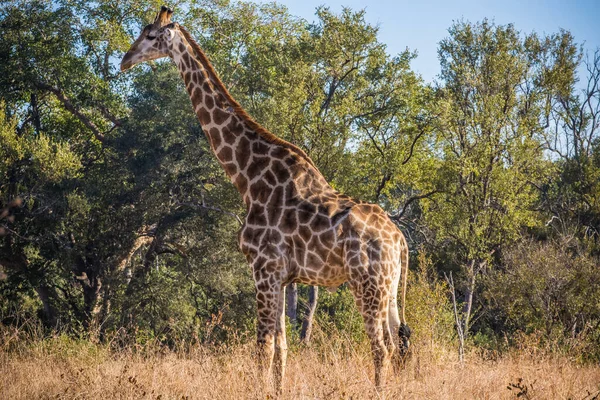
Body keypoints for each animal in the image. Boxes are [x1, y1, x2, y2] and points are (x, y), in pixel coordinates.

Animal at [122, 5, 412, 394]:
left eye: (151, 35)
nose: (124, 60)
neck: (247, 177)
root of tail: (399, 239)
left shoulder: (263, 269)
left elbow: (262, 348)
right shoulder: (282, 277)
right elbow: (281, 349)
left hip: (367, 284)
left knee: (381, 347)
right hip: (390, 287)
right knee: (398, 342)